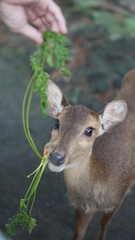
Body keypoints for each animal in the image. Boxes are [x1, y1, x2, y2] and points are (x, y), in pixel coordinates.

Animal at [43, 70, 135, 240]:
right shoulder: (82, 207)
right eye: (57, 123)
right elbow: (79, 233)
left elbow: (103, 224)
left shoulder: (118, 198)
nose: (56, 156)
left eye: (89, 130)